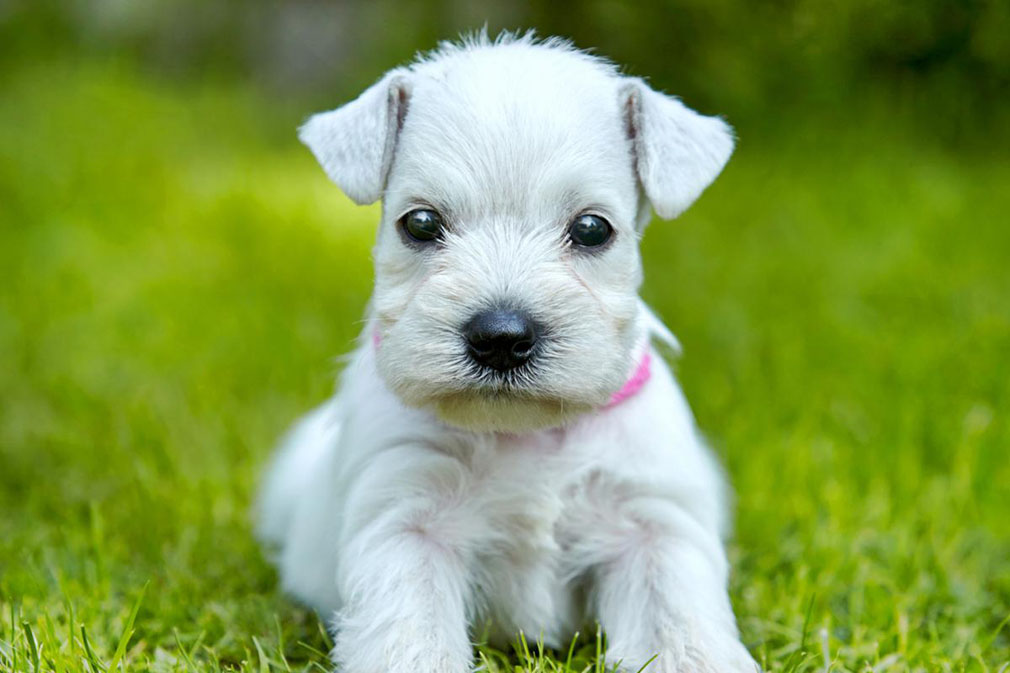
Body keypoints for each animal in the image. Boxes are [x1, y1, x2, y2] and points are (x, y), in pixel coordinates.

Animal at [256, 34, 755, 670]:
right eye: (421, 222)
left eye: (592, 228)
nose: (500, 337)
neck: (525, 434)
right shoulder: (407, 524)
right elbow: (412, 636)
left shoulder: (651, 528)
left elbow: (679, 630)